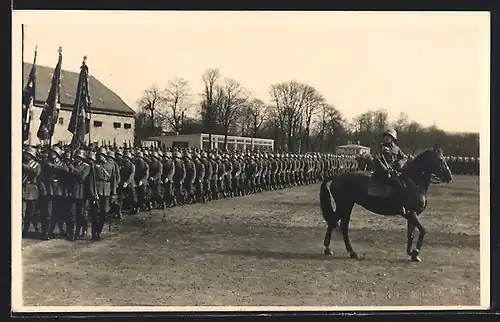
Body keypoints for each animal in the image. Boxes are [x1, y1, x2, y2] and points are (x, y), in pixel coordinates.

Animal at [320, 144, 454, 262]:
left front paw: (411, 253)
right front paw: (415, 252)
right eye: (441, 159)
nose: (449, 177)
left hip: (347, 206)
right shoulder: (411, 213)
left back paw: (347, 251)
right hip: (344, 205)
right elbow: (422, 231)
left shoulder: (412, 215)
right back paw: (332, 249)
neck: (413, 182)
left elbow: (410, 234)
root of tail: (337, 176)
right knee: (335, 222)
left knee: (341, 225)